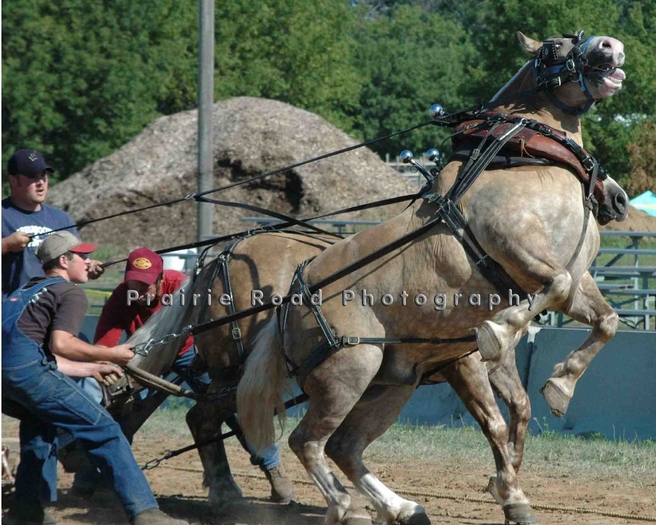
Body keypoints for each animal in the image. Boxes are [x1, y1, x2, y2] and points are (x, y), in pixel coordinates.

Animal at [237, 30, 632, 520]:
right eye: (556, 47)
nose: (610, 46)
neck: (522, 160)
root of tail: (288, 303)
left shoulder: (574, 278)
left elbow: (605, 321)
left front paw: (559, 386)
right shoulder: (513, 242)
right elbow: (542, 304)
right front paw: (498, 331)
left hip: (389, 384)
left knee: (345, 446)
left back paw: (402, 508)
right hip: (348, 372)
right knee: (307, 441)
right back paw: (346, 507)